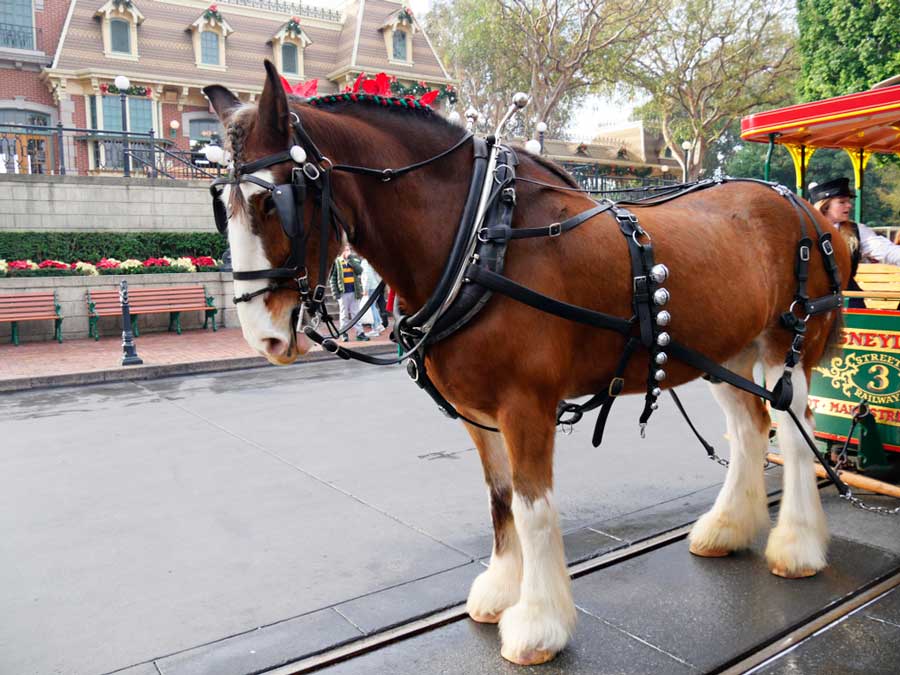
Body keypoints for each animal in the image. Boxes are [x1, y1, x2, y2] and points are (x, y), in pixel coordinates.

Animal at [204, 62, 851, 666]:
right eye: (220, 205)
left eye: (272, 201)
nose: (262, 336)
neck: (478, 241)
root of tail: (814, 216)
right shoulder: (479, 411)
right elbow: (500, 499)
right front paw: (499, 592)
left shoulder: (526, 406)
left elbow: (533, 507)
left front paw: (538, 624)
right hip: (725, 351)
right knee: (749, 429)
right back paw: (727, 528)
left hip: (788, 347)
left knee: (794, 434)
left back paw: (797, 547)